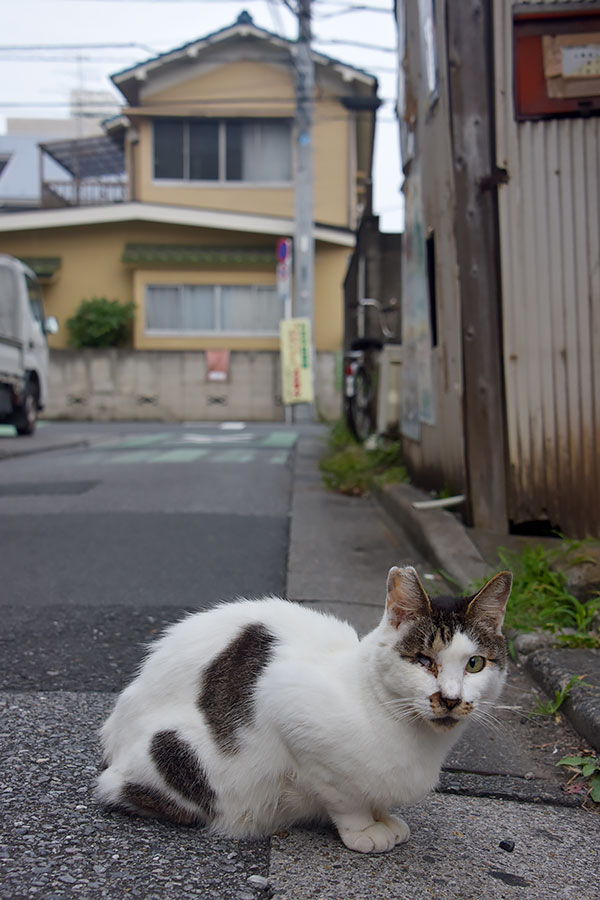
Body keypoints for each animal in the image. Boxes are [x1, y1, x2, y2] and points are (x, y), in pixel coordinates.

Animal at [95, 568, 510, 856]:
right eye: (424, 661)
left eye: (474, 664)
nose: (451, 698)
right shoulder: (289, 708)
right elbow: (344, 796)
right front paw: (364, 829)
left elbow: (376, 794)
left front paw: (384, 816)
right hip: (176, 750)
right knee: (121, 788)